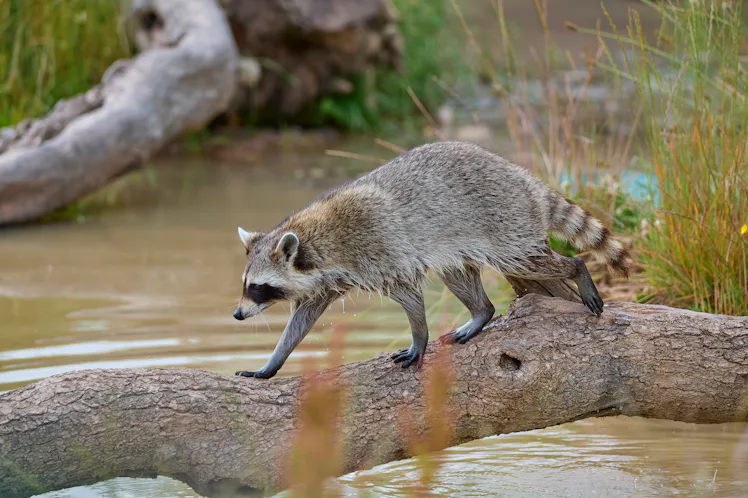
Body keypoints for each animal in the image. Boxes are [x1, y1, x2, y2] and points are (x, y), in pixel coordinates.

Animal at [233, 141, 632, 379]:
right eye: (246, 285)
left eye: (259, 288)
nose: (237, 315)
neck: (317, 240)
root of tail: (522, 177)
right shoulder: (327, 281)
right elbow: (303, 319)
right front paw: (273, 362)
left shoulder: (381, 251)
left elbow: (410, 296)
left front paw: (419, 338)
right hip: (462, 242)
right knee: (458, 275)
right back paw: (481, 313)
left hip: (507, 222)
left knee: (525, 261)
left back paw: (577, 269)